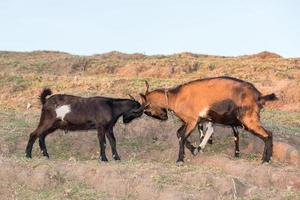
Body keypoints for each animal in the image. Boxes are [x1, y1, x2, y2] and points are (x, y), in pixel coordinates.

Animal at [139, 76, 278, 164]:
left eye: (147, 110)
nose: (164, 117)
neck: (176, 96)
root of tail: (259, 95)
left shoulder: (192, 121)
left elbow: (182, 136)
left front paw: (180, 160)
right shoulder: (191, 121)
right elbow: (179, 134)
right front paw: (194, 150)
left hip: (249, 120)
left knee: (268, 135)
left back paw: (266, 160)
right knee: (267, 135)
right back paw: (264, 158)